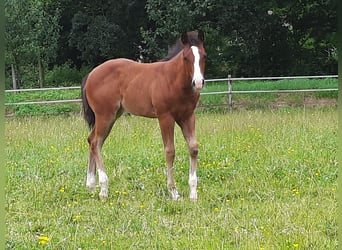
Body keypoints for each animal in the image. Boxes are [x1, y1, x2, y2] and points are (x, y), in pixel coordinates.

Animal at [82, 31, 206, 202]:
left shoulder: (187, 116)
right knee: (95, 142)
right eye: (186, 57)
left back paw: (91, 185)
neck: (174, 81)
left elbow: (193, 148)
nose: (198, 82)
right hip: (104, 115)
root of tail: (90, 74)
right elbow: (170, 151)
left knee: (93, 140)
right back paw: (103, 189)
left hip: (111, 116)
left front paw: (193, 193)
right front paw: (173, 191)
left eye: (204, 56)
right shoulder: (165, 117)